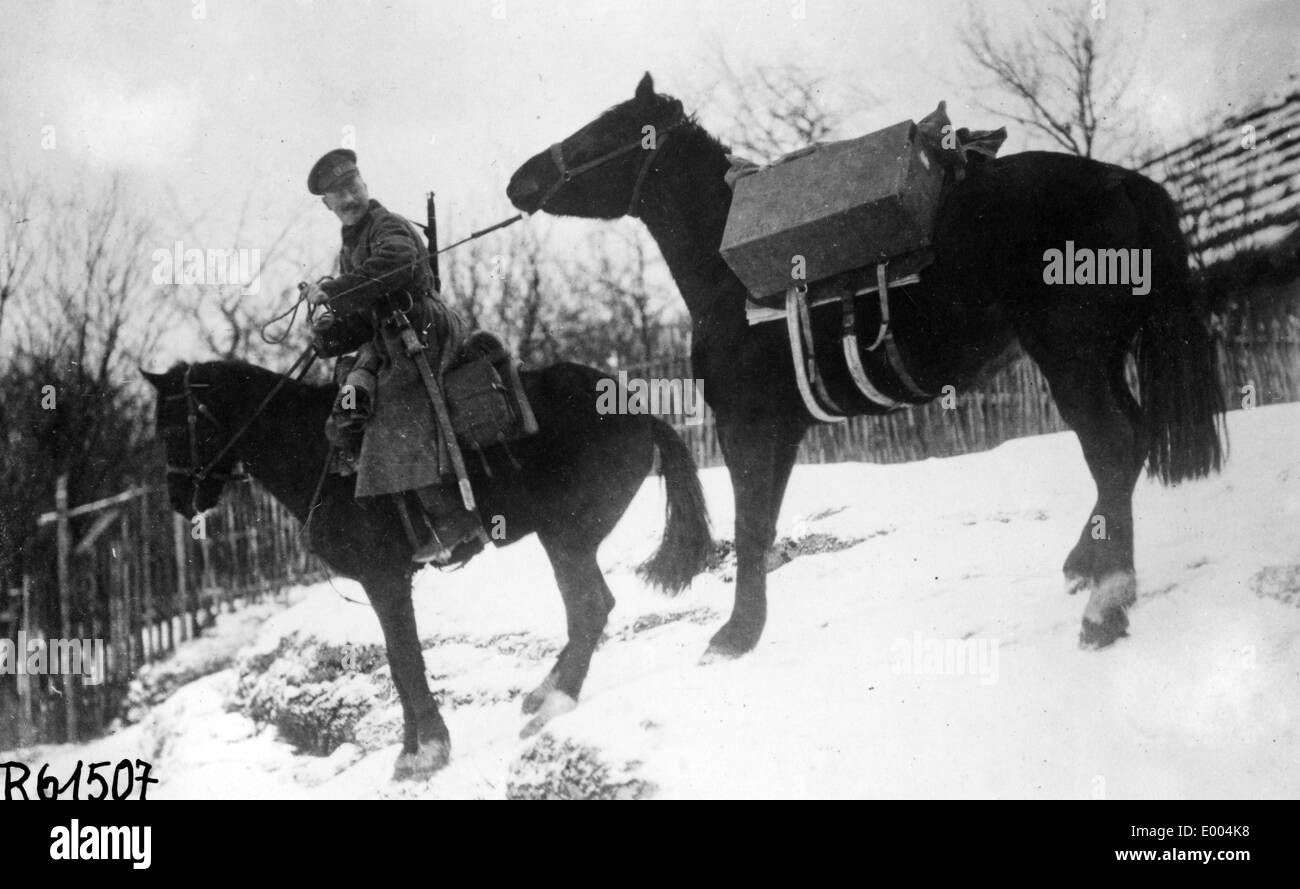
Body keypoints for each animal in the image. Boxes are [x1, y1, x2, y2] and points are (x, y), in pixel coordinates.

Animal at [143, 358, 712, 779]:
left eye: (172, 426)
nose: (178, 500)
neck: (320, 454)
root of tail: (639, 413)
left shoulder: (385, 581)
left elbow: (404, 661)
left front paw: (426, 751)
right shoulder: (388, 584)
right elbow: (400, 663)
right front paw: (415, 746)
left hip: (565, 538)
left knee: (590, 606)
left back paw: (555, 703)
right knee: (588, 611)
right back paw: (545, 692)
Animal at [509, 72, 1227, 660]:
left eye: (604, 133)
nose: (522, 179)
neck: (728, 272)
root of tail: (1123, 180)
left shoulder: (747, 425)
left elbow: (746, 526)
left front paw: (734, 636)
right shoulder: (786, 431)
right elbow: (762, 525)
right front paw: (746, 628)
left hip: (1071, 358)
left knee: (1111, 445)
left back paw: (1105, 606)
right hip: (1102, 355)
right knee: (1132, 441)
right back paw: (1088, 564)